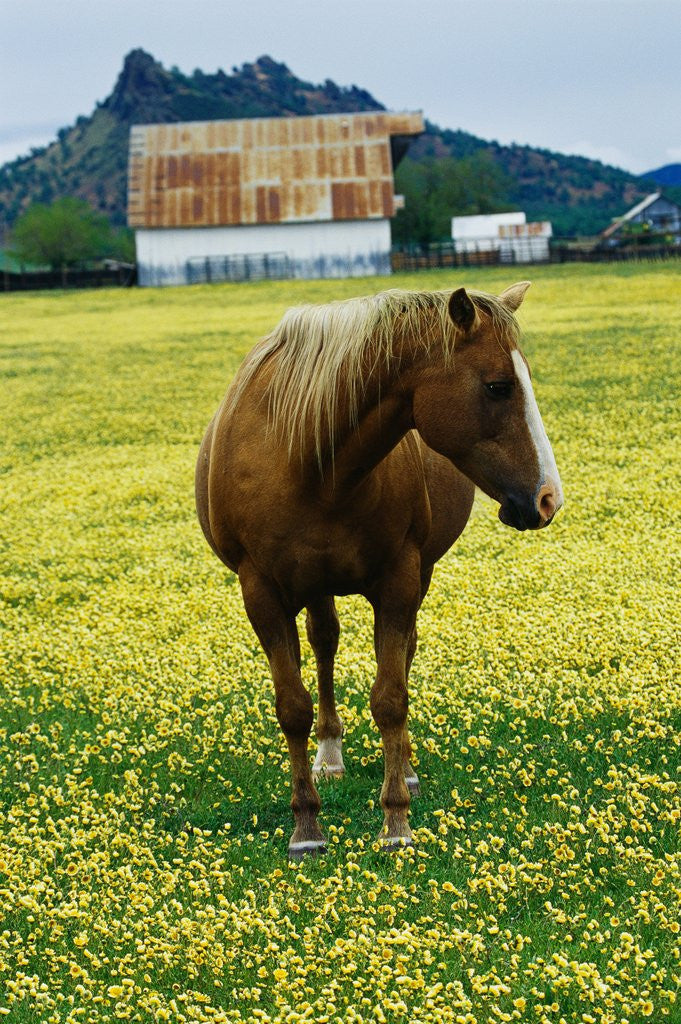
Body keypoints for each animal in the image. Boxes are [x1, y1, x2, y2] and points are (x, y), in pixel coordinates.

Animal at [195, 282, 563, 859]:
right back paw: (329, 755)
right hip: (314, 587)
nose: (549, 498)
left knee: (398, 652)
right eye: (498, 387)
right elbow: (292, 707)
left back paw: (403, 767)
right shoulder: (260, 592)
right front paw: (306, 827)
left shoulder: (399, 580)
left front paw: (395, 821)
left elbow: (391, 697)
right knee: (323, 643)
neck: (311, 463)